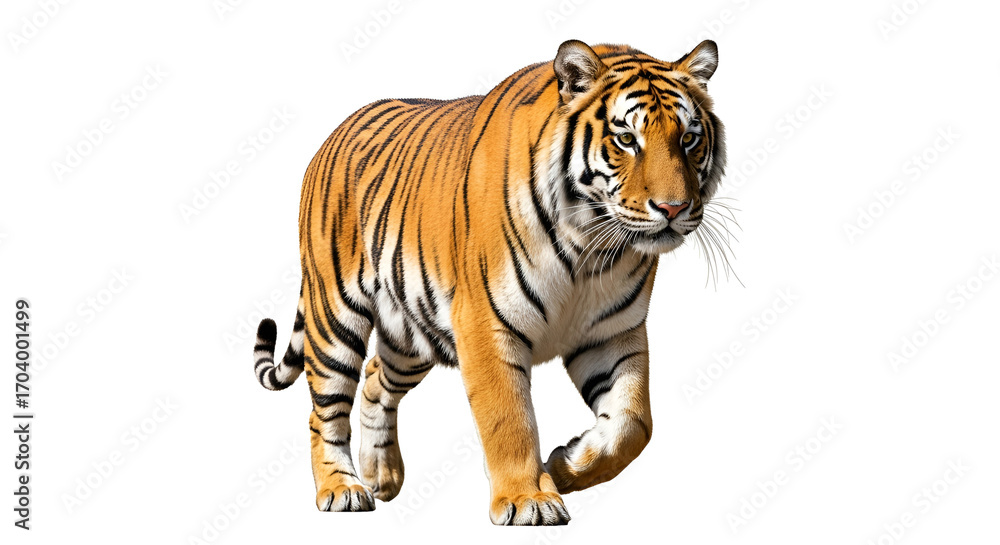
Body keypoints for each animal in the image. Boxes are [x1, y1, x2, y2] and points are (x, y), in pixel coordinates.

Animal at [252, 38, 727, 525]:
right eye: (627, 139)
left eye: (688, 138)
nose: (672, 208)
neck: (590, 247)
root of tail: (332, 135)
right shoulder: (485, 325)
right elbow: (509, 419)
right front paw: (527, 499)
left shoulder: (613, 332)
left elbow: (634, 424)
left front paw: (565, 464)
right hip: (335, 315)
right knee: (325, 409)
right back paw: (341, 488)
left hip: (412, 338)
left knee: (373, 379)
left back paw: (382, 474)